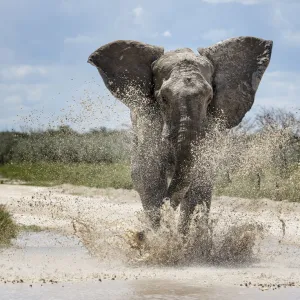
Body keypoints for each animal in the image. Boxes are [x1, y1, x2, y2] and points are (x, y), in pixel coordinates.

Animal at [88, 37, 274, 233]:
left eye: (209, 99)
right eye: (163, 99)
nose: (140, 234)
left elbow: (200, 179)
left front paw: (181, 239)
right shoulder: (148, 123)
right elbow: (149, 174)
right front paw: (161, 236)